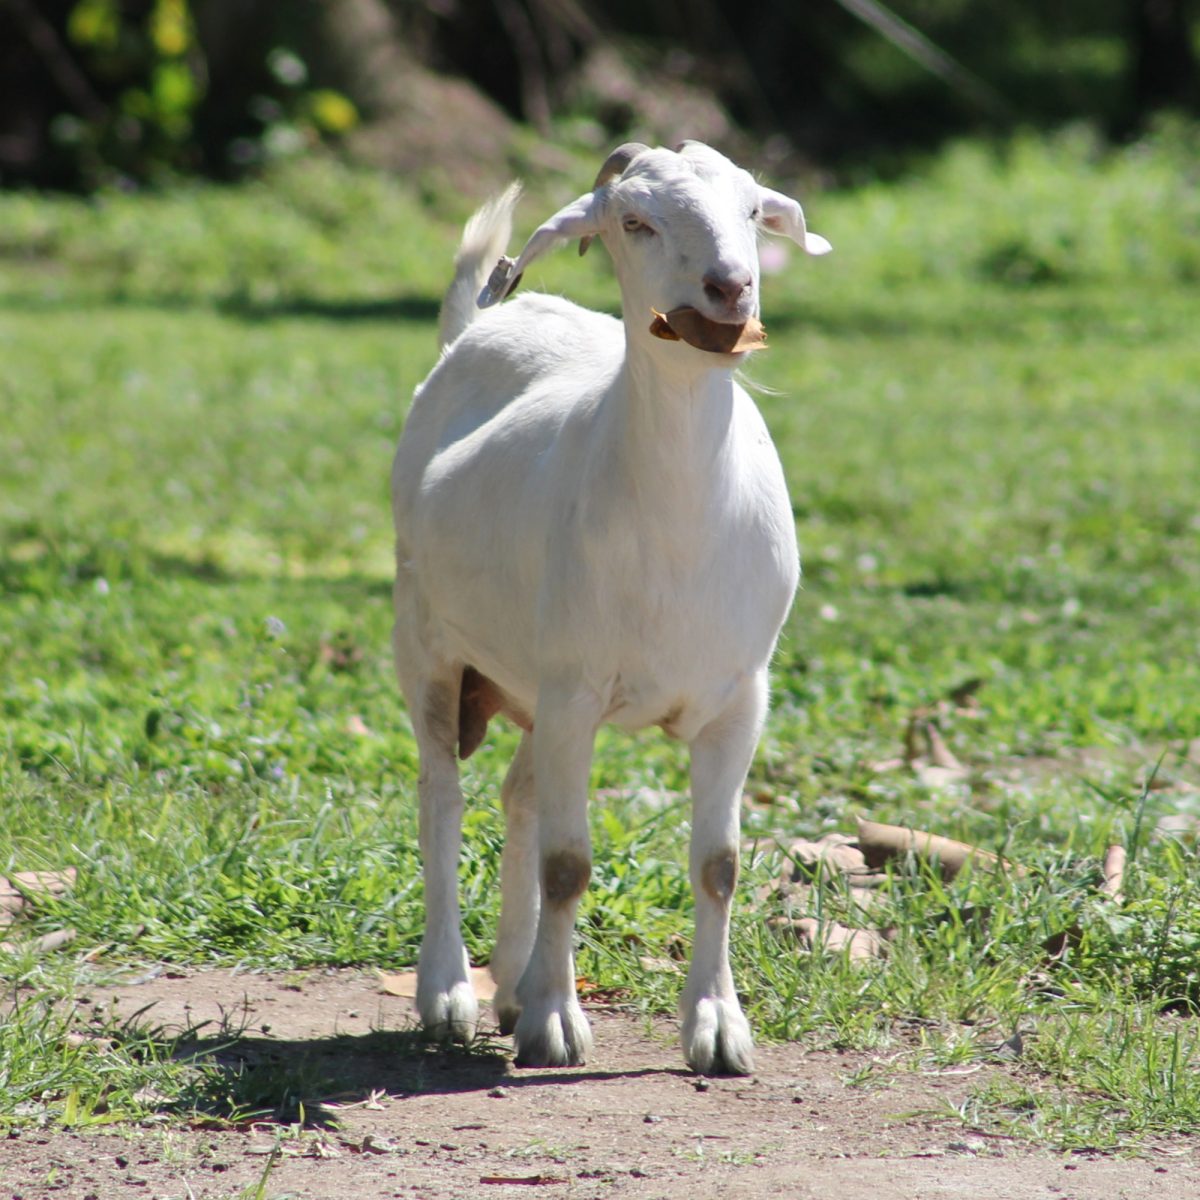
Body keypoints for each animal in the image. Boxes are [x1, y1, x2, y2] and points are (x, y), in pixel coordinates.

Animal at [391, 141, 830, 1075]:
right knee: (442, 796)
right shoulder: (575, 689)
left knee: (519, 793)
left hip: (532, 682)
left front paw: (718, 1028)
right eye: (636, 220)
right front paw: (558, 1025)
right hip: (429, 639)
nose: (730, 288)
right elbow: (568, 863)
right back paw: (448, 994)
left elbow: (719, 864)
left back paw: (511, 981)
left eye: (752, 210)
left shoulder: (740, 697)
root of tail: (474, 330)